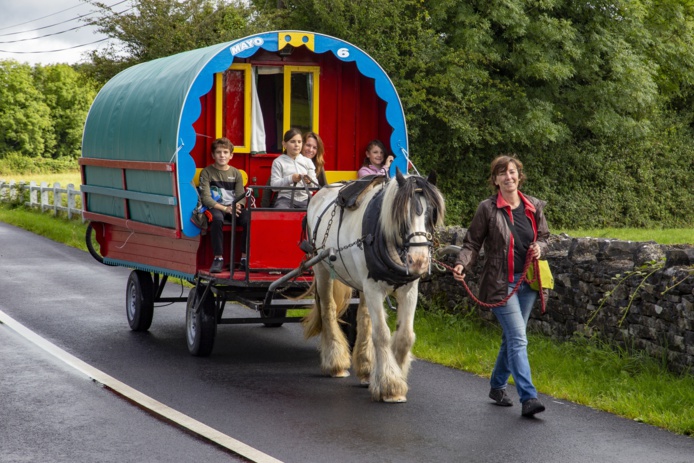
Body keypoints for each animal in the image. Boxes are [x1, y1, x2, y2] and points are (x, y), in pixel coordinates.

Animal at [304, 170, 446, 402]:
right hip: (322, 269)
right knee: (328, 310)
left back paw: (365, 368)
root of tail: (322, 190)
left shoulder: (409, 290)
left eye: (431, 213)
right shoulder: (373, 288)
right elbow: (382, 334)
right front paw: (390, 385)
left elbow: (405, 336)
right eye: (402, 215)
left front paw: (394, 374)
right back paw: (335, 362)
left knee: (363, 317)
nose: (418, 261)